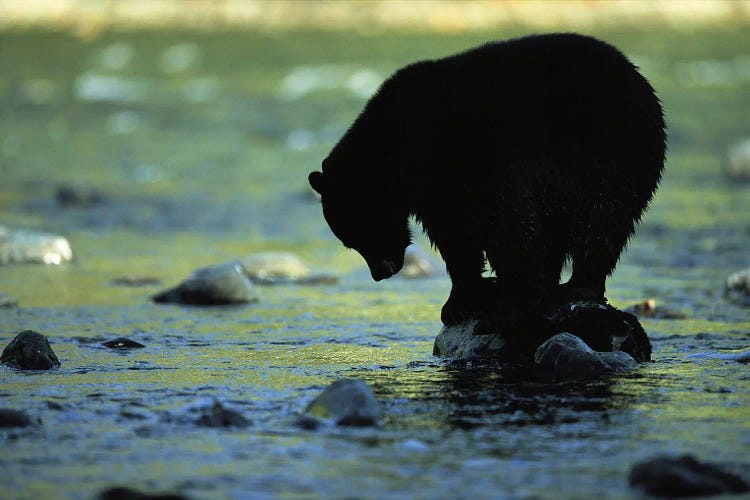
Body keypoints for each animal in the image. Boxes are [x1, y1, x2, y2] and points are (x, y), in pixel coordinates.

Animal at [308, 33, 668, 326]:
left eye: (361, 231)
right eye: (349, 241)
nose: (381, 272)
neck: (404, 150)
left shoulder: (480, 157)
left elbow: (509, 223)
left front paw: (514, 297)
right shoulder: (435, 192)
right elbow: (455, 237)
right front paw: (460, 301)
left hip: (613, 153)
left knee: (603, 219)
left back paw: (578, 286)